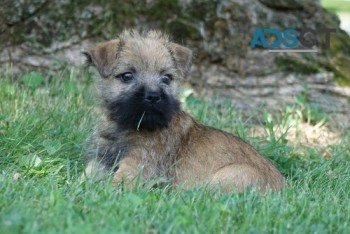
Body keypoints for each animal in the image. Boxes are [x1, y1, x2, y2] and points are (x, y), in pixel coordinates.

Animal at [81, 29, 284, 193]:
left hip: (232, 175)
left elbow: (113, 185)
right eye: (127, 76)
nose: (153, 96)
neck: (127, 126)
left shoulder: (138, 163)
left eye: (166, 78)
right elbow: (84, 178)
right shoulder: (100, 159)